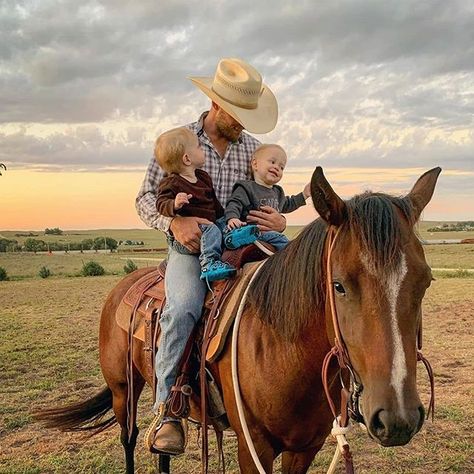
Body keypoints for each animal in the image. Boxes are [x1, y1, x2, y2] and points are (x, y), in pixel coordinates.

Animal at [36, 166, 440, 470]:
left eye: (425, 281)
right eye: (338, 285)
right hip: (124, 391)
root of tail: (124, 286)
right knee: (131, 439)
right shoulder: (253, 446)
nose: (397, 419)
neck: (284, 352)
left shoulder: (304, 448)